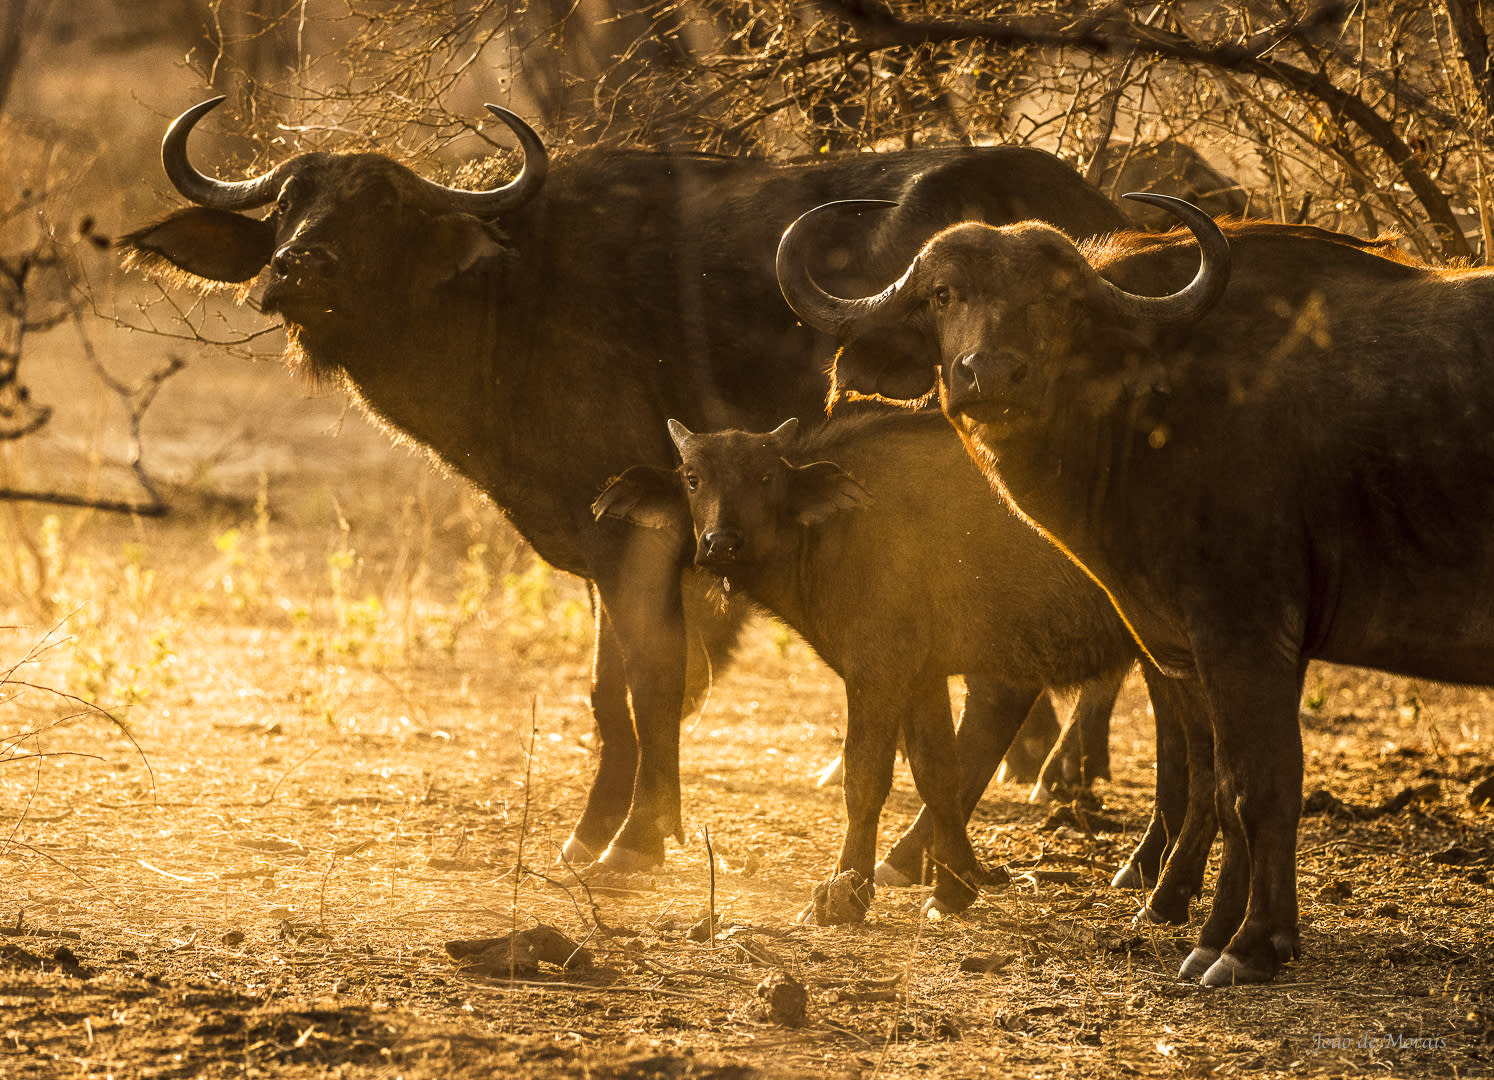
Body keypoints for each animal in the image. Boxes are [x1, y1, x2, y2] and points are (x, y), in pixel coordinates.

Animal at [116, 99, 1123, 878]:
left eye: (387, 207)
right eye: (291, 202)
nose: (298, 268)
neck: (512, 296)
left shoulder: (640, 534)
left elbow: (650, 682)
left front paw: (633, 842)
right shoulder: (606, 533)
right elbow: (611, 694)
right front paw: (596, 831)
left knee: (1004, 680)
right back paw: (925, 855)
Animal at [591, 409, 1201, 926]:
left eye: (764, 476)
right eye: (693, 478)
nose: (720, 543)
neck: (835, 529)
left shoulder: (876, 670)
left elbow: (865, 777)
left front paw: (843, 894)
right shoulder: (921, 676)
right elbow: (938, 770)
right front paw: (952, 888)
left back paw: (1167, 895)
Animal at [776, 194, 1494, 985]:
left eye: (1058, 299)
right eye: (942, 294)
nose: (989, 374)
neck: (1160, 398)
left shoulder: (1244, 632)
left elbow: (1260, 784)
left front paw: (1250, 946)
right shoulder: (1185, 644)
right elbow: (1220, 779)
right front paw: (1212, 928)